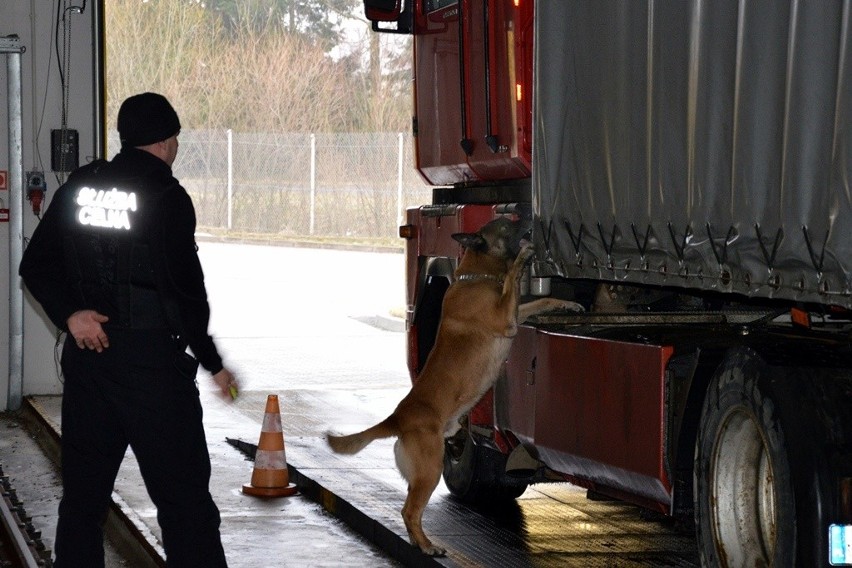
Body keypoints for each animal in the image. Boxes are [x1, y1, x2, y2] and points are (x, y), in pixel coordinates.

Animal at [322, 216, 584, 556]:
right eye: (505, 224)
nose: (528, 215)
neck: (478, 276)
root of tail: (397, 418)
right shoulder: (505, 318)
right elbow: (513, 278)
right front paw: (522, 259)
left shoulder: (514, 312)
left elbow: (542, 299)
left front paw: (568, 303)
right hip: (430, 469)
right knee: (409, 510)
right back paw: (427, 546)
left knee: (410, 512)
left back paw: (418, 542)